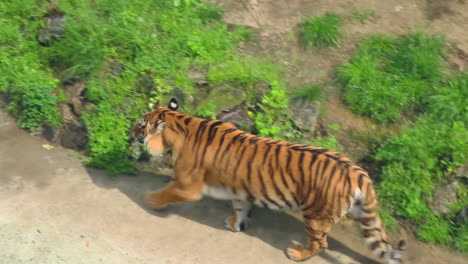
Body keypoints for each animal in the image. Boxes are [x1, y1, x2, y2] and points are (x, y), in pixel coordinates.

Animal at [133, 98, 406, 262]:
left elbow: (166, 192)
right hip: (360, 213)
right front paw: (236, 224)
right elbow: (240, 208)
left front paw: (149, 200)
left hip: (316, 215)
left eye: (141, 124)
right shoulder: (239, 190)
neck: (183, 124)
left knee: (321, 244)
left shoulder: (187, 186)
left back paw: (297, 253)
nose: (131, 129)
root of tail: (359, 172)